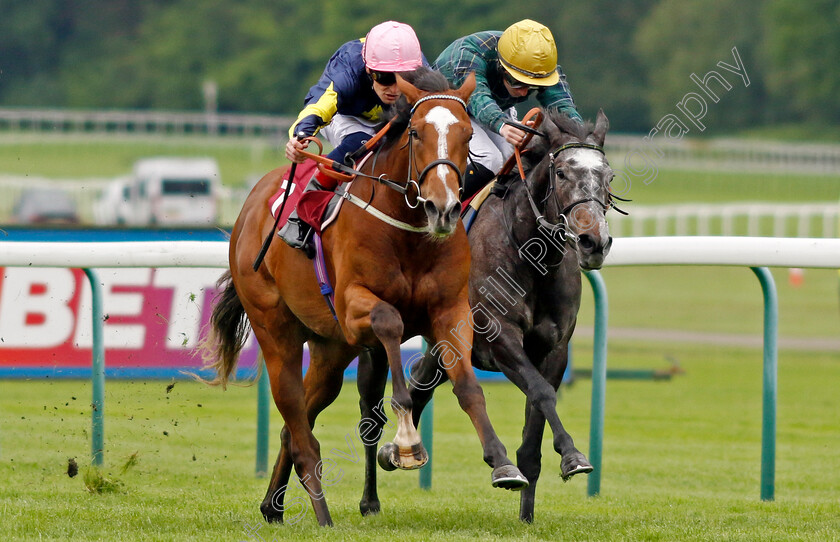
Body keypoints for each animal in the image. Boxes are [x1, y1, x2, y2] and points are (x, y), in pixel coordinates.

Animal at [200, 68, 524, 528]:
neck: (408, 231)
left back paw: (273, 506)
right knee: (298, 424)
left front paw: (502, 463)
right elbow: (390, 325)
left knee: (297, 421)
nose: (443, 208)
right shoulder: (355, 307)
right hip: (276, 332)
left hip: (330, 351)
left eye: (466, 133)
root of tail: (249, 207)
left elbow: (467, 386)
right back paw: (321, 515)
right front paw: (406, 442)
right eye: (416, 132)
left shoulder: (450, 310)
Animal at [358, 109, 612, 524]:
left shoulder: (554, 350)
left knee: (421, 381)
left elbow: (536, 424)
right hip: (374, 342)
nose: (594, 242)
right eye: (561, 173)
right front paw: (572, 454)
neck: (531, 256)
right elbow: (540, 391)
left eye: (610, 176)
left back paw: (396, 451)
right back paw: (370, 500)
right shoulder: (498, 337)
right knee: (370, 418)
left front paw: (529, 512)